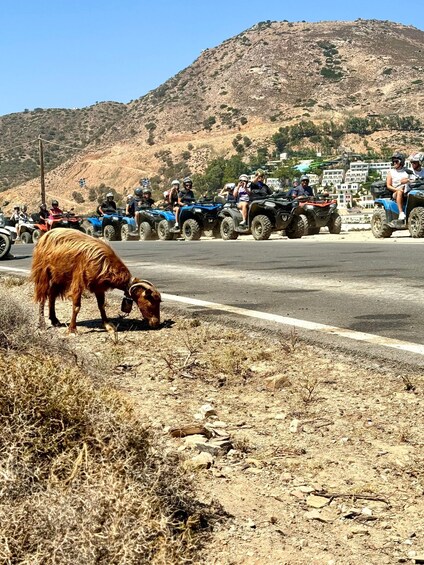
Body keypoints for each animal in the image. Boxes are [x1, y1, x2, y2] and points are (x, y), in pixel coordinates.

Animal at [30, 228, 161, 332]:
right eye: (151, 301)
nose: (156, 323)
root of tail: (45, 235)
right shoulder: (78, 279)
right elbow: (76, 306)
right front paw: (72, 330)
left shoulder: (99, 285)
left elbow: (101, 305)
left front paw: (108, 325)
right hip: (43, 273)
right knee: (42, 296)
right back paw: (42, 323)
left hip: (59, 276)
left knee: (52, 295)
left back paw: (54, 320)